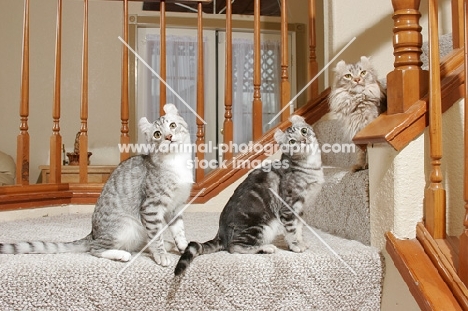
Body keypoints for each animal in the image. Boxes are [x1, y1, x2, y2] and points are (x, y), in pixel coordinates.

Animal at [0, 103, 193, 266]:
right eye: (157, 134)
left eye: (173, 125)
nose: (168, 137)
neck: (176, 163)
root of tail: (92, 233)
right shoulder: (151, 206)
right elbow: (156, 235)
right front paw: (161, 254)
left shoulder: (176, 206)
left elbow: (179, 230)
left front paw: (183, 246)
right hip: (125, 227)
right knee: (96, 248)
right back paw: (122, 254)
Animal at [174, 116, 324, 276]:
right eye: (292, 142)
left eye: (304, 130)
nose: (304, 140)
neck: (311, 168)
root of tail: (221, 234)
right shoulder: (289, 207)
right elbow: (292, 229)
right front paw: (296, 245)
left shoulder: (301, 208)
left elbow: (299, 228)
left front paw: (302, 242)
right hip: (261, 226)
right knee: (234, 247)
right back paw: (266, 248)